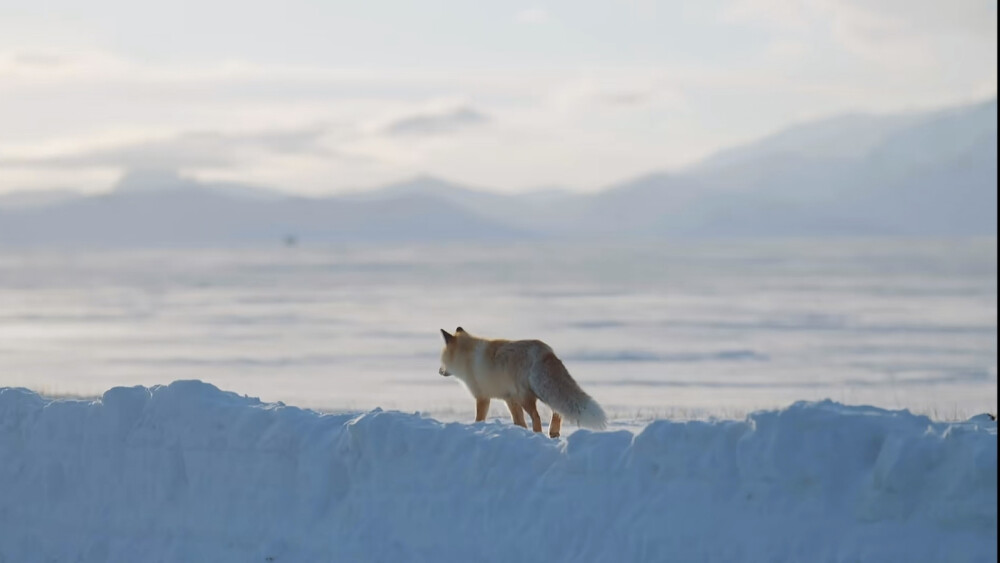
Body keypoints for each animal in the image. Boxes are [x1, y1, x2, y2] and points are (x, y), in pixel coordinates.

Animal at [440, 328, 608, 438]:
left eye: (441, 359)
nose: (440, 371)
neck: (467, 357)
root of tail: (545, 351)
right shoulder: (509, 399)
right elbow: (519, 421)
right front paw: (520, 432)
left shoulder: (482, 397)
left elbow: (479, 418)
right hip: (541, 393)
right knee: (557, 411)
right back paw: (553, 432)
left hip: (526, 397)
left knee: (537, 417)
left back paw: (538, 435)